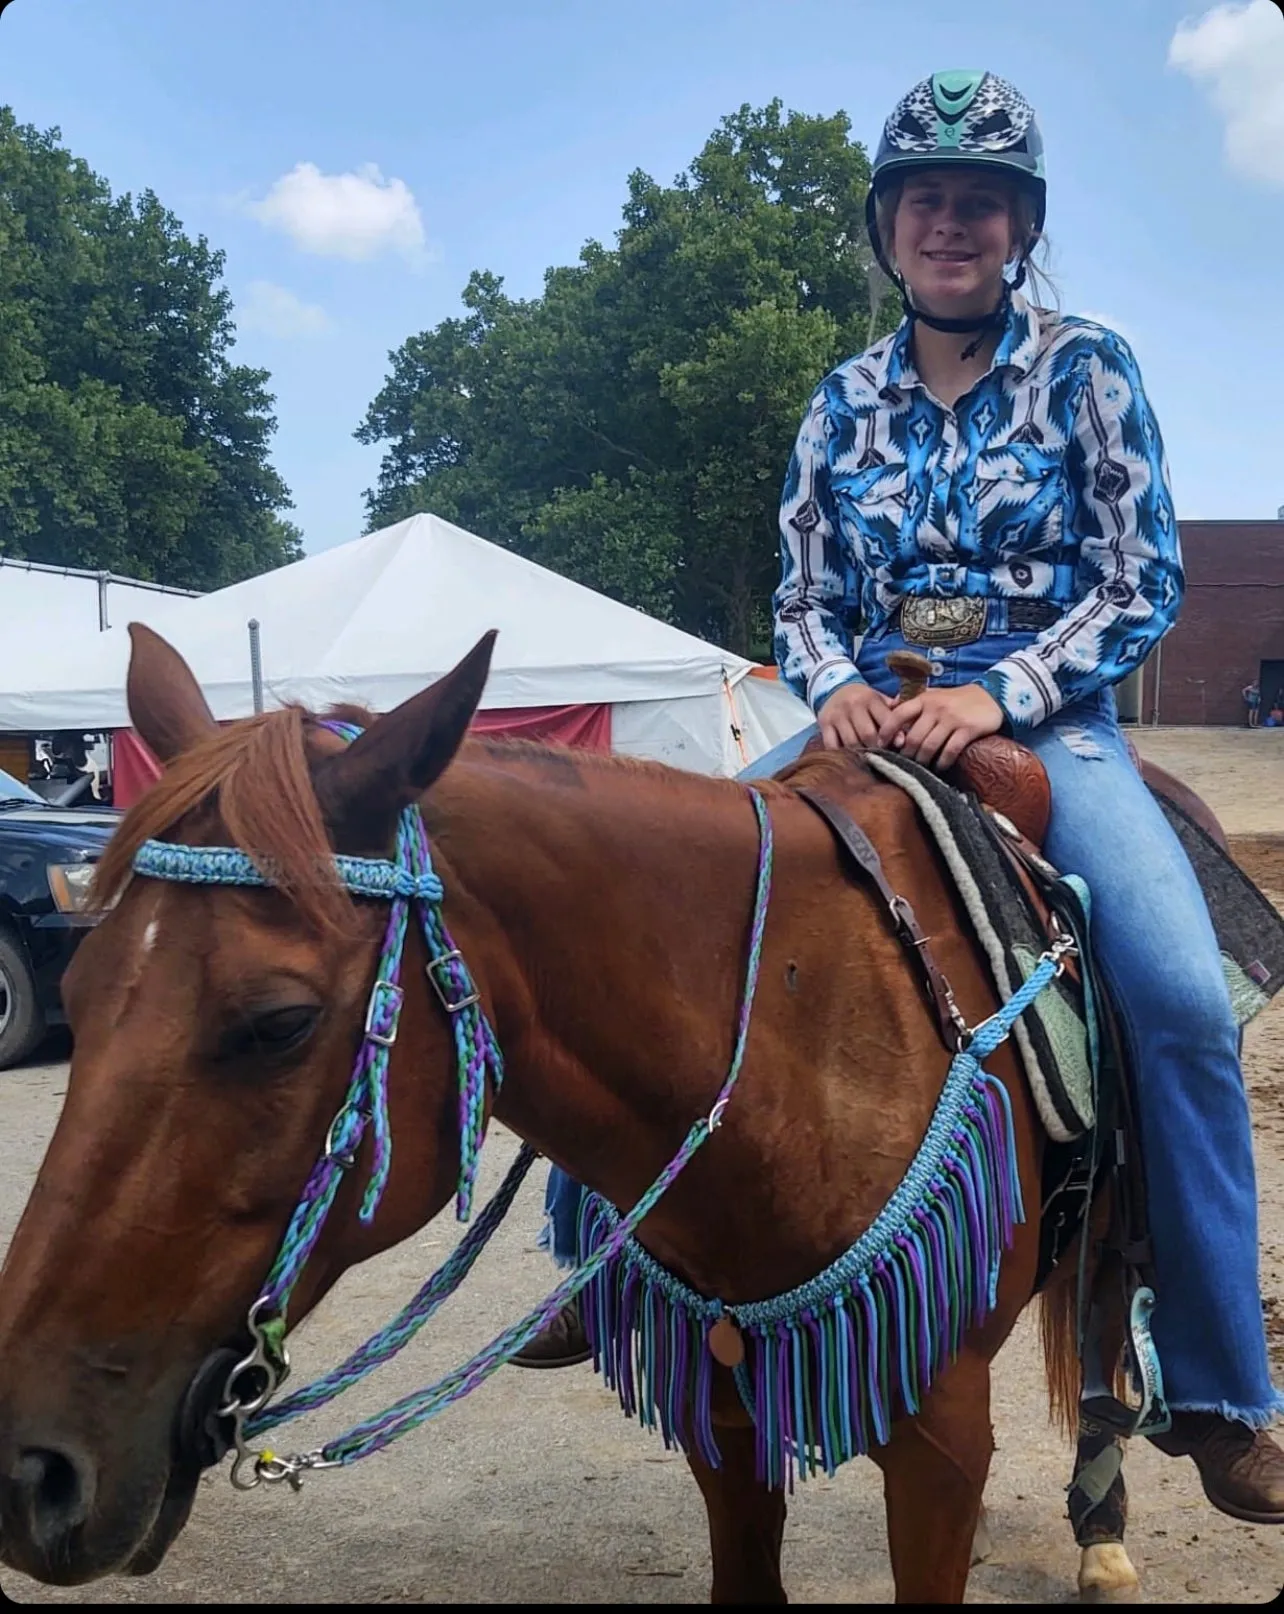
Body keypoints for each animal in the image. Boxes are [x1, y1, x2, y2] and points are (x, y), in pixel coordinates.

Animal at [0, 623, 1122, 1594]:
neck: (807, 1031)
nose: (25, 1475)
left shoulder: (937, 1443)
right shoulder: (722, 1411)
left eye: (280, 1021)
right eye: (80, 989)